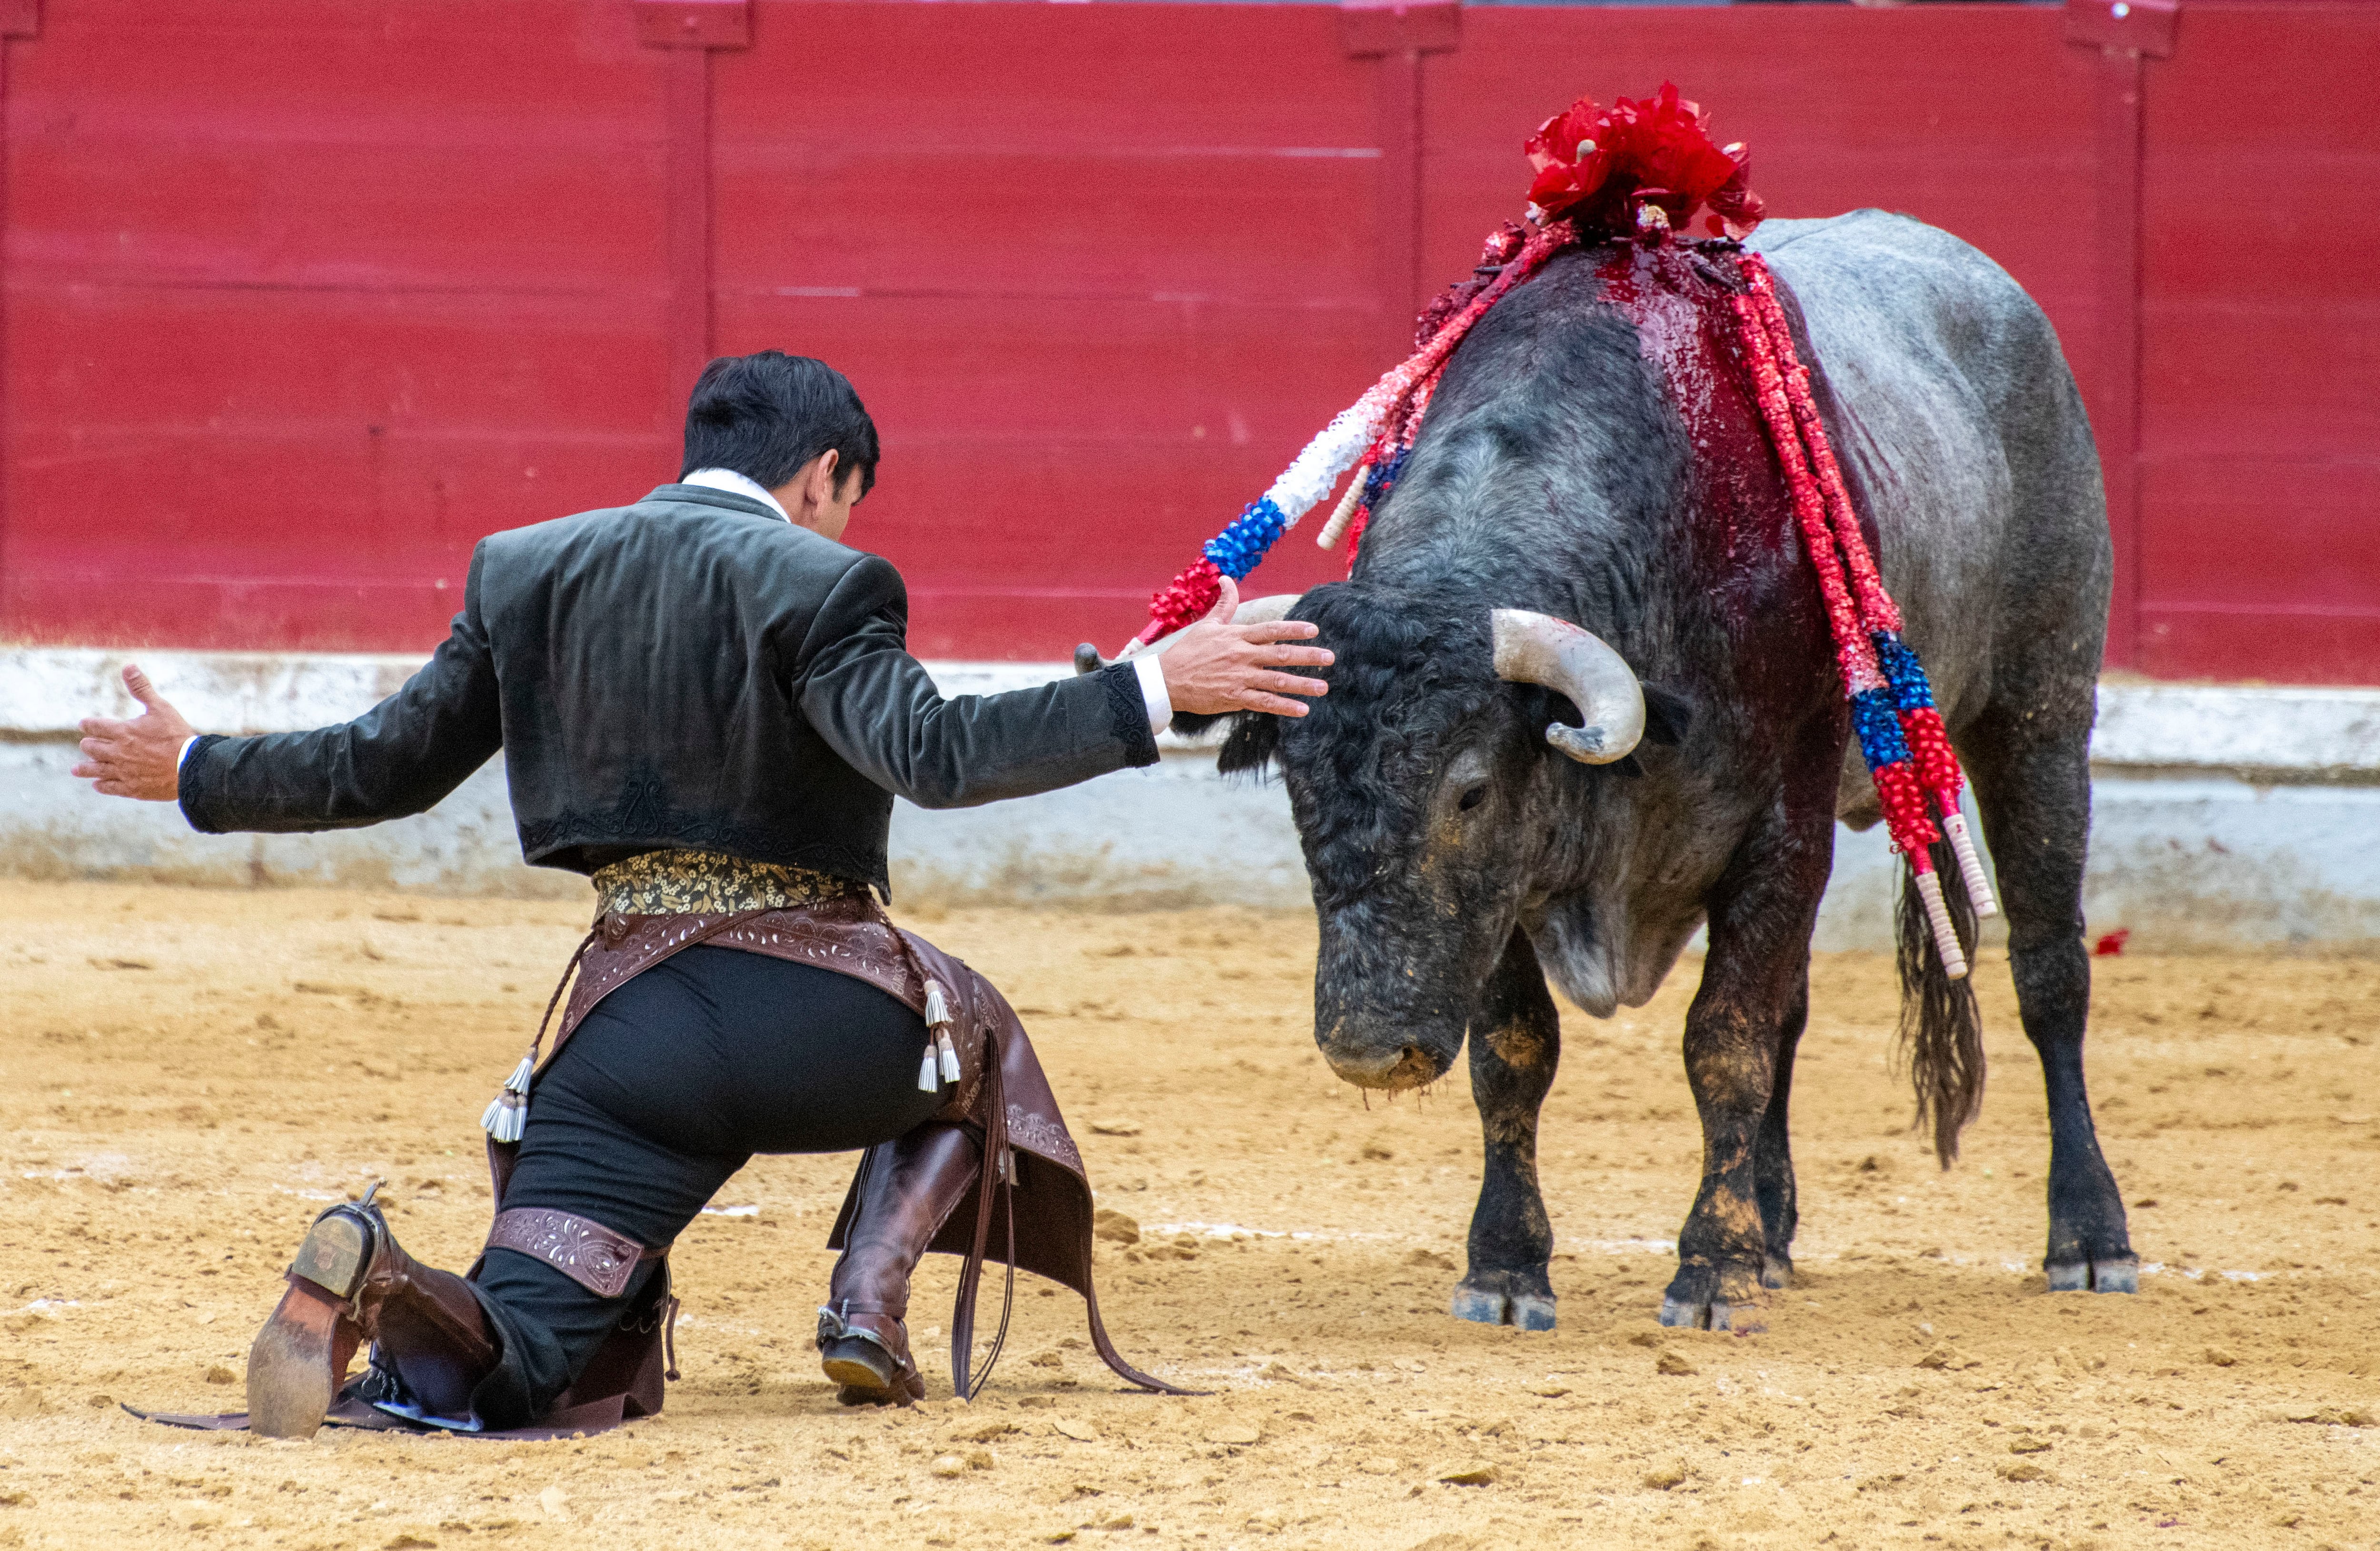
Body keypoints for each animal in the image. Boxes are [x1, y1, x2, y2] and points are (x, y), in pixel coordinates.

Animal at [1200, 209, 2132, 1332]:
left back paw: (2089, 1238)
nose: (1367, 1047)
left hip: (2041, 712)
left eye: (1468, 790)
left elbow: (1724, 1038)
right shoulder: (1509, 885)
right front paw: (1507, 1267)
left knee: (2049, 972)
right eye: (1300, 797)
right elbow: (1518, 1048)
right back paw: (1774, 1230)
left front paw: (1712, 1270)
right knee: (1795, 1007)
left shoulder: (1780, 816)